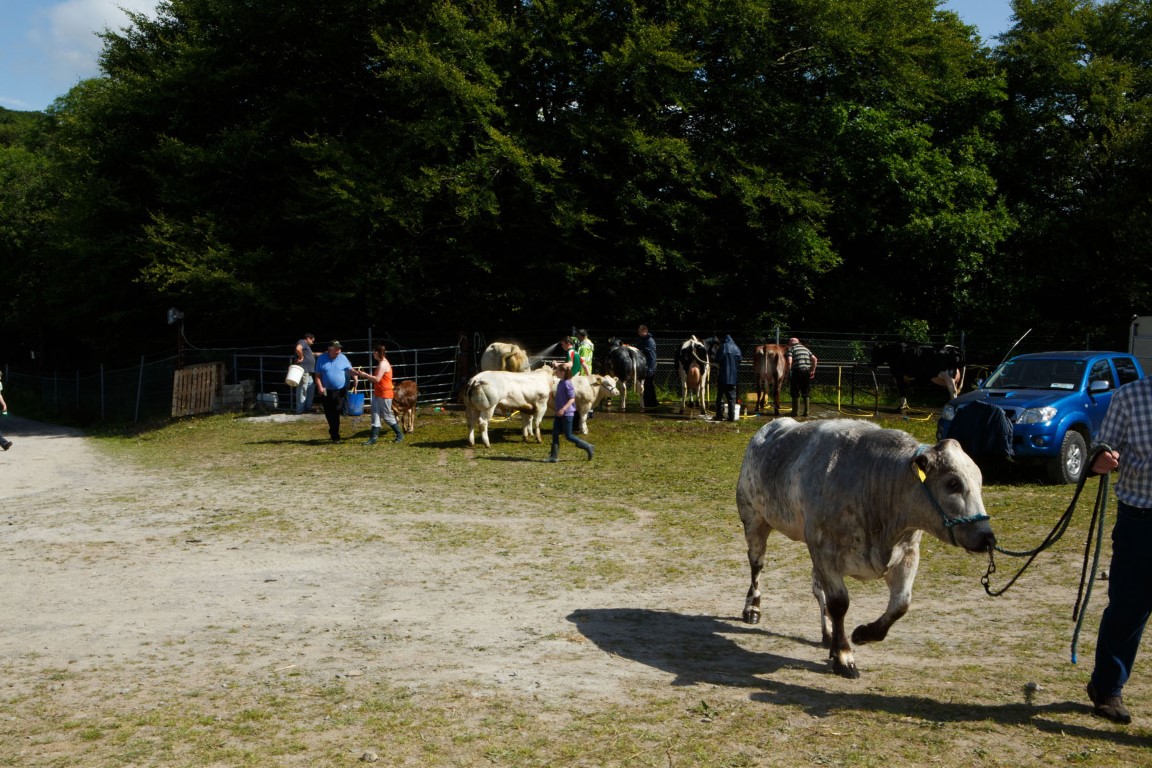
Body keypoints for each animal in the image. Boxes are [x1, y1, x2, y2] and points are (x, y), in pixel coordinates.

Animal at [736, 418, 995, 679]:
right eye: (952, 483)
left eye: (980, 480)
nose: (987, 537)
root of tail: (773, 425)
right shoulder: (826, 552)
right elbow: (839, 604)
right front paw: (844, 656)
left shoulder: (908, 553)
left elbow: (901, 604)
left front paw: (862, 634)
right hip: (755, 520)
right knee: (757, 566)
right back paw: (752, 609)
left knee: (817, 588)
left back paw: (828, 633)